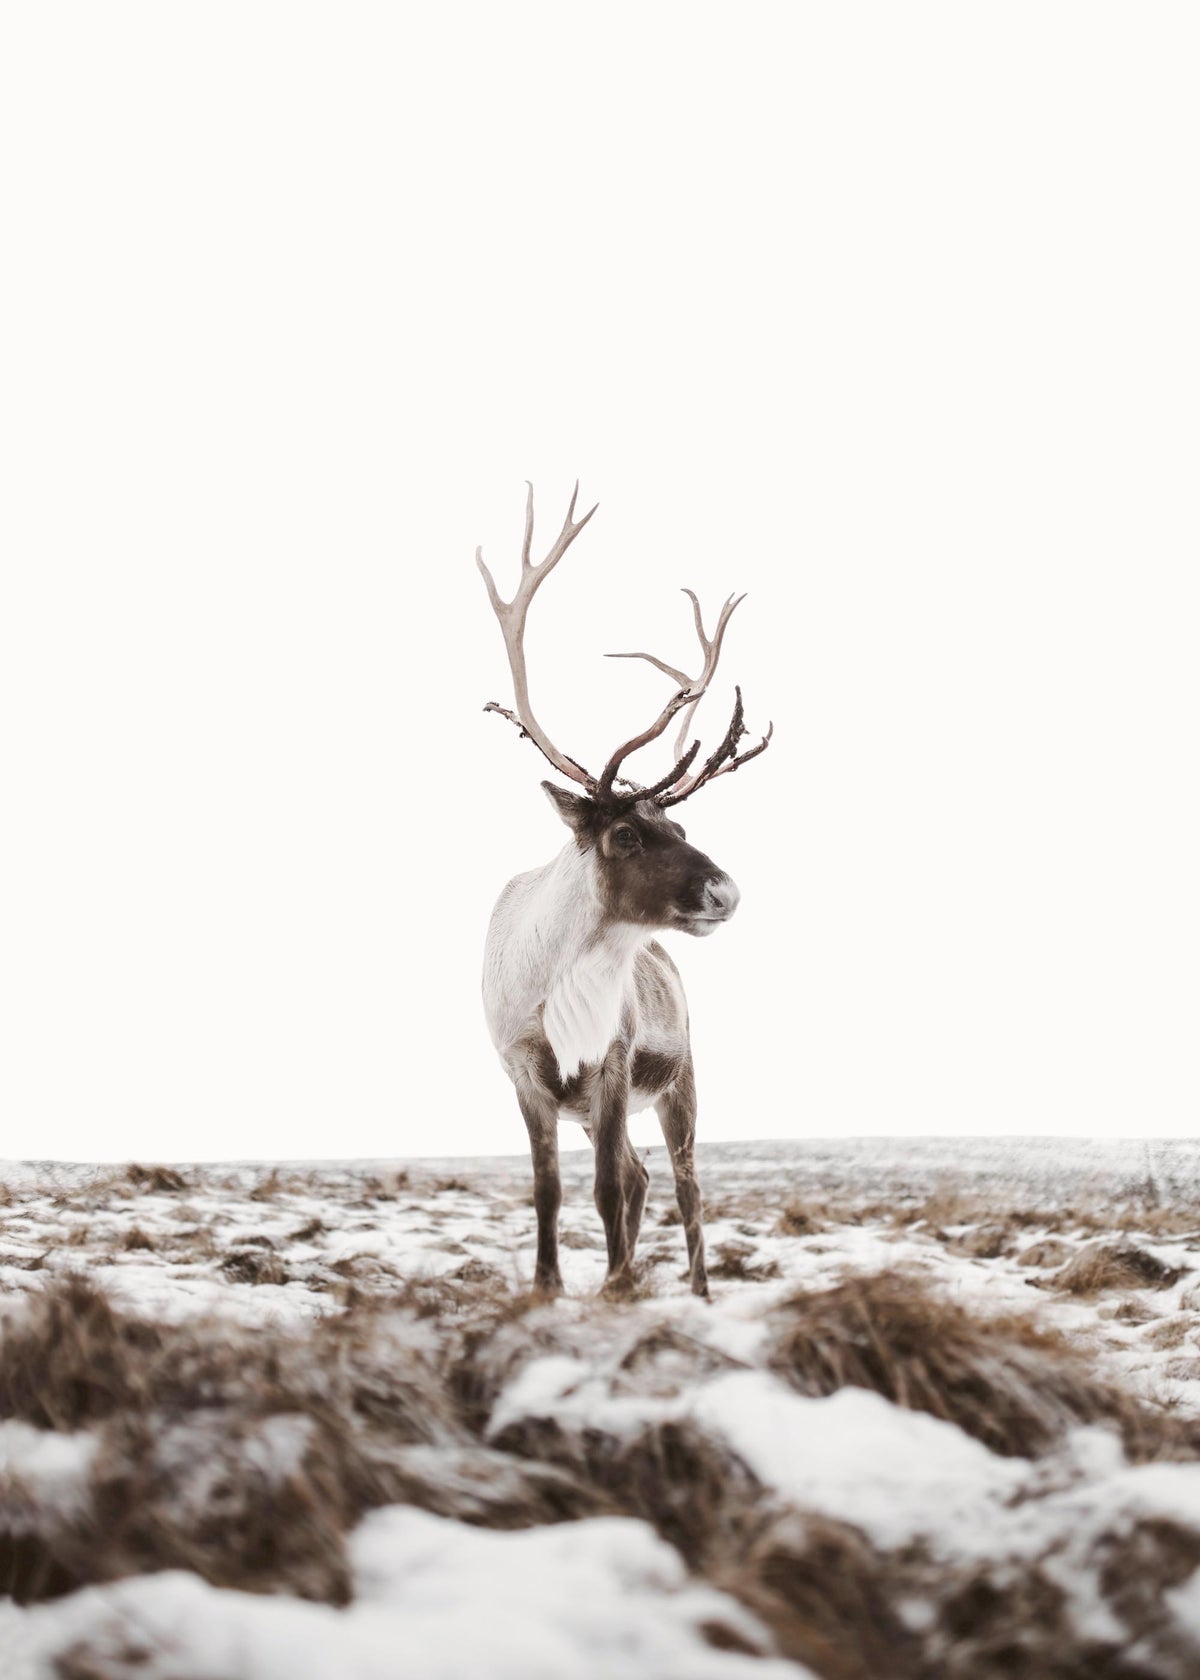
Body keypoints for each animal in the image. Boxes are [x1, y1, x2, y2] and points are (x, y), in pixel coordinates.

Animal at [477, 484, 771, 1298]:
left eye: (678, 820)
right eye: (626, 834)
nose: (727, 892)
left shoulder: (612, 1065)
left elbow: (607, 1186)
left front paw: (617, 1284)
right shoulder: (525, 1074)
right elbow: (548, 1188)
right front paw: (550, 1285)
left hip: (681, 1081)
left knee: (683, 1182)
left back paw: (696, 1288)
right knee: (644, 1175)